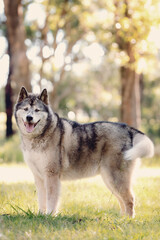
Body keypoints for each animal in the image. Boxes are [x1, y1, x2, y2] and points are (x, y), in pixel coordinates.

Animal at [14, 87, 154, 218]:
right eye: (26, 109)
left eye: (37, 110)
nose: (29, 118)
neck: (39, 136)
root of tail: (127, 128)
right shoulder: (39, 177)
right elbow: (42, 200)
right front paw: (41, 215)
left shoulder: (51, 175)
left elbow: (51, 200)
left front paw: (50, 216)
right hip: (110, 180)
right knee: (122, 201)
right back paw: (121, 218)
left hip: (115, 178)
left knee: (129, 199)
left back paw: (127, 220)